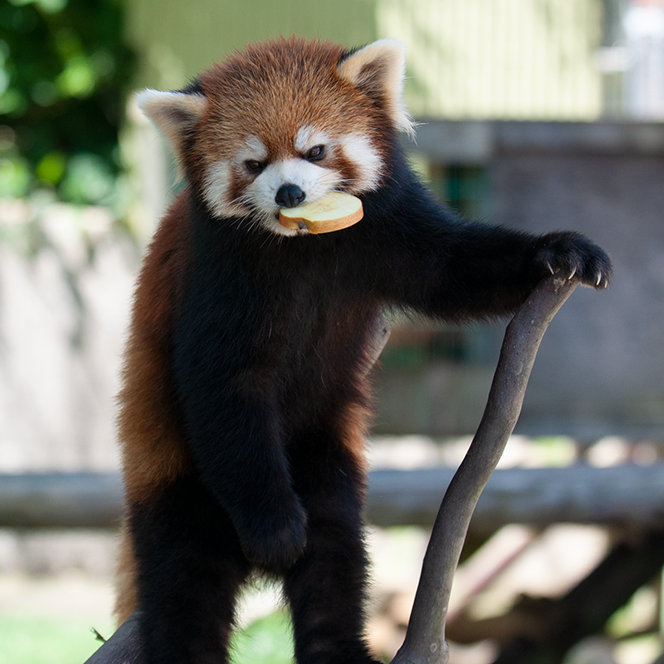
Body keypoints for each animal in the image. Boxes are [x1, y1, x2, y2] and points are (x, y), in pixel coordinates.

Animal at [115, 37, 612, 664]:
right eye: (253, 164)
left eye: (316, 150)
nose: (290, 192)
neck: (302, 243)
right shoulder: (218, 277)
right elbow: (221, 385)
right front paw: (274, 526)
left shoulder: (392, 229)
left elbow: (453, 270)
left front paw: (557, 250)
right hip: (174, 479)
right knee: (185, 584)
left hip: (325, 453)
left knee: (335, 555)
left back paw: (340, 647)